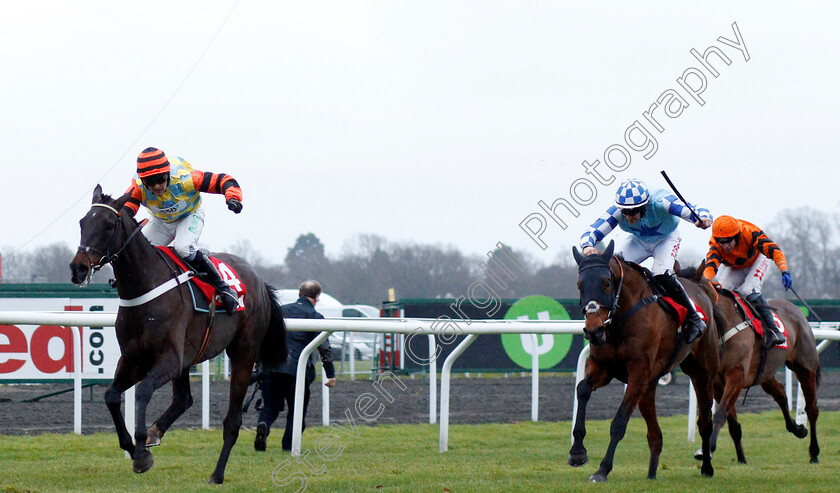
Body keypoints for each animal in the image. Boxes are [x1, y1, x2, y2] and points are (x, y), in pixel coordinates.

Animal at [69, 185, 286, 484]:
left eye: (109, 225)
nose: (78, 268)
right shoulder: (134, 358)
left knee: (232, 421)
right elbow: (111, 395)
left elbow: (142, 391)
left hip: (243, 353)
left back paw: (216, 474)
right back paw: (155, 432)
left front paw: (141, 452)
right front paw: (131, 446)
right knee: (184, 398)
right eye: (82, 223)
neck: (143, 287)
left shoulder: (168, 359)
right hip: (189, 357)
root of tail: (260, 282)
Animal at [568, 242, 720, 480]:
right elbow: (582, 389)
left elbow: (619, 421)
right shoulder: (602, 366)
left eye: (607, 282)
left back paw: (706, 467)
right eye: (579, 285)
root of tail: (698, 285)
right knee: (655, 435)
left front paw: (602, 469)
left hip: (702, 374)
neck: (620, 320)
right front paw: (577, 452)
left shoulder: (638, 373)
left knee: (704, 422)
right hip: (650, 385)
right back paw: (651, 474)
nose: (593, 331)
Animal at [704, 280, 820, 466]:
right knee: (781, 395)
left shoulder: (735, 375)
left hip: (806, 368)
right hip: (766, 374)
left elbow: (721, 413)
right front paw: (741, 459)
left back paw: (814, 452)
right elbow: (732, 423)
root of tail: (796, 311)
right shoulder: (717, 382)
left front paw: (708, 448)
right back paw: (797, 429)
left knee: (812, 409)